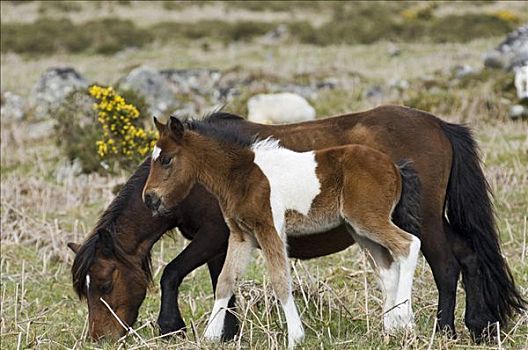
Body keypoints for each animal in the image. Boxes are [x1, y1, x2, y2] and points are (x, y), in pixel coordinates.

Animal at [142, 117, 422, 348]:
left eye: (166, 159)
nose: (149, 199)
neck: (242, 177)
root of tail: (395, 167)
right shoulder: (241, 236)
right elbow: (225, 281)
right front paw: (211, 335)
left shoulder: (269, 228)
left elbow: (279, 279)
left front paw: (295, 336)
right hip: (359, 230)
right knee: (387, 270)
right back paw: (390, 328)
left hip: (368, 219)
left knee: (409, 245)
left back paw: (404, 318)